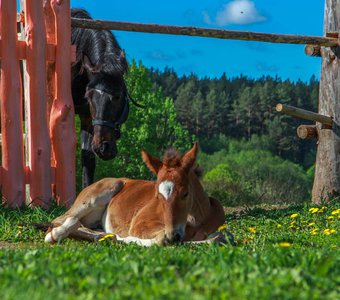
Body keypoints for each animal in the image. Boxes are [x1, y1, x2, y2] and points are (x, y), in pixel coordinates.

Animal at [43, 144, 227, 246]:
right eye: (157, 196)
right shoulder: (139, 225)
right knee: (62, 219)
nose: (172, 235)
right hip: (100, 193)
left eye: (185, 193)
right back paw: (58, 233)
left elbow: (217, 238)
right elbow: (158, 238)